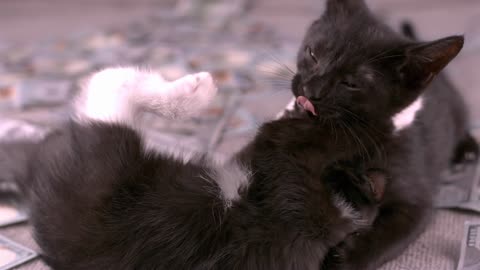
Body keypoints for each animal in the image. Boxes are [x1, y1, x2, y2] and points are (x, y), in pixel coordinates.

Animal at [280, 1, 478, 268]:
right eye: (313, 55)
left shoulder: (415, 202)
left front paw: (343, 260)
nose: (311, 90)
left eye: (351, 83)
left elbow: (382, 239)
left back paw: (467, 149)